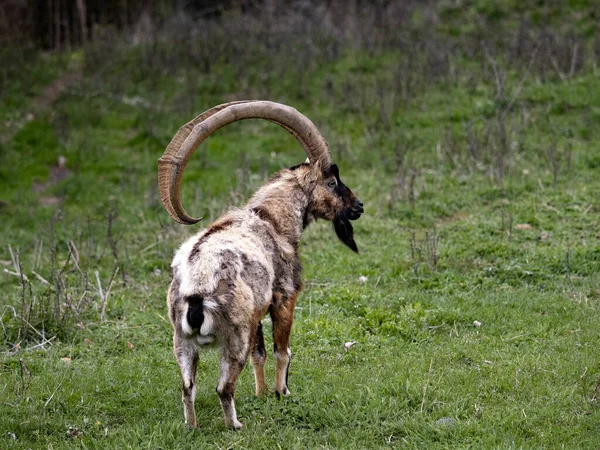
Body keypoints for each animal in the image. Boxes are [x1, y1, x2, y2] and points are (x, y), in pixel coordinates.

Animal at [157, 100, 364, 428]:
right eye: (331, 182)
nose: (358, 206)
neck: (271, 220)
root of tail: (197, 288)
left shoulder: (257, 313)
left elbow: (260, 354)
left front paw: (262, 393)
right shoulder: (283, 298)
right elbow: (282, 351)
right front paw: (282, 393)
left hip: (182, 341)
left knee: (187, 386)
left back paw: (192, 425)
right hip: (234, 338)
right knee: (223, 387)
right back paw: (235, 425)